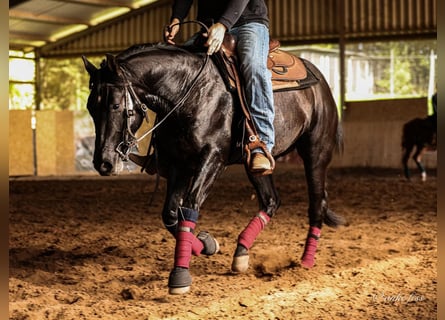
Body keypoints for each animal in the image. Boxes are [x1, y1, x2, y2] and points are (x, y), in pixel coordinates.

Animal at [83, 42, 346, 296]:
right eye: (90, 107)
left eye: (115, 105)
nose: (103, 163)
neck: (189, 92)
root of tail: (320, 82)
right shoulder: (180, 164)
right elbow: (170, 214)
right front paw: (207, 244)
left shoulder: (212, 158)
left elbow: (190, 206)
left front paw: (180, 276)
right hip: (255, 163)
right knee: (271, 200)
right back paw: (241, 252)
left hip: (316, 152)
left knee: (317, 205)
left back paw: (306, 262)